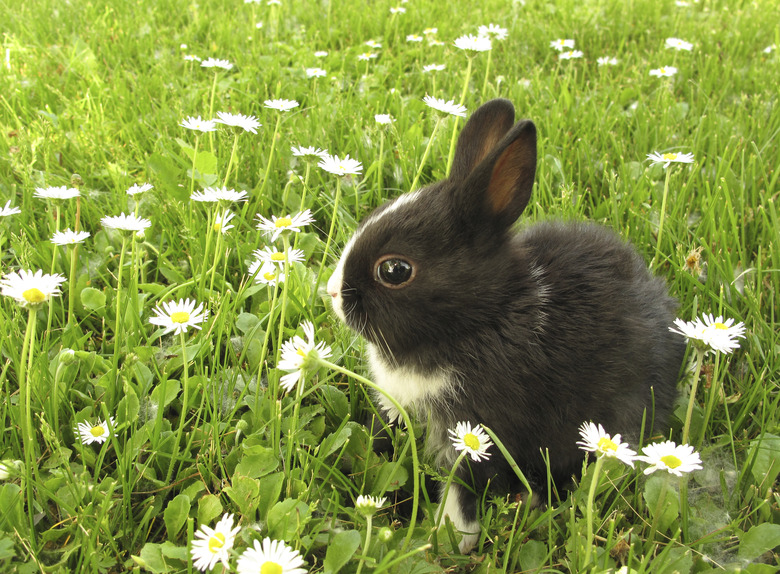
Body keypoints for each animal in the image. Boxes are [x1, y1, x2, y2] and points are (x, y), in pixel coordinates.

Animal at [324, 99, 684, 552]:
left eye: (394, 270)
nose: (332, 292)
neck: (483, 316)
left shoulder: (480, 431)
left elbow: (463, 485)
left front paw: (449, 539)